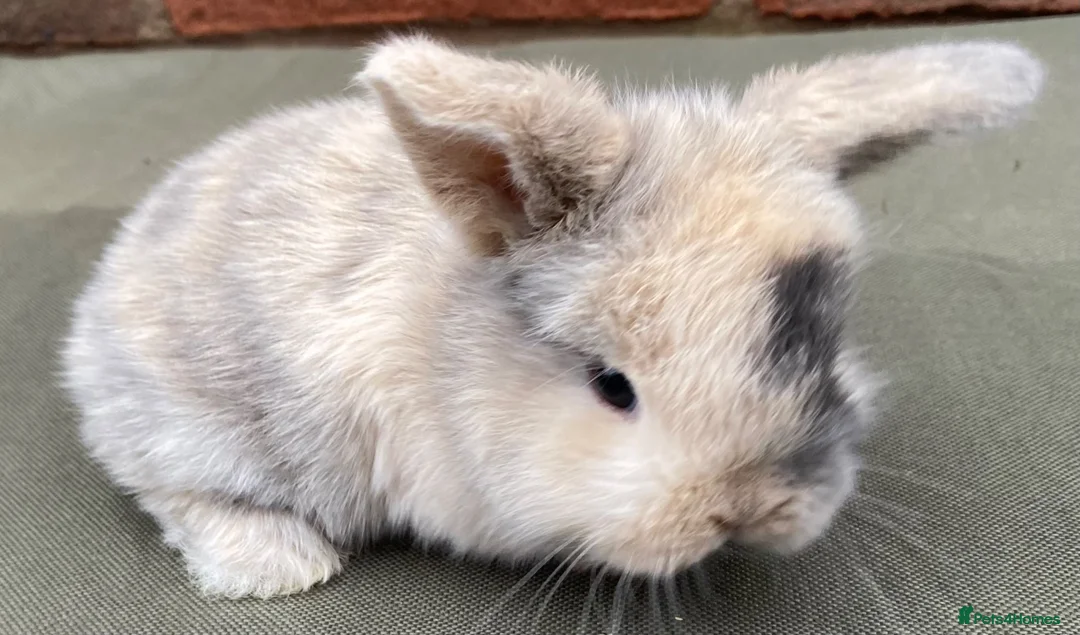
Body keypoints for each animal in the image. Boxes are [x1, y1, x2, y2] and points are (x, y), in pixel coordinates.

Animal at [61, 34, 1044, 599]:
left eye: (822, 347)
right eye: (613, 385)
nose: (750, 508)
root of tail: (96, 305)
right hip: (197, 424)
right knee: (171, 488)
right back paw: (278, 564)